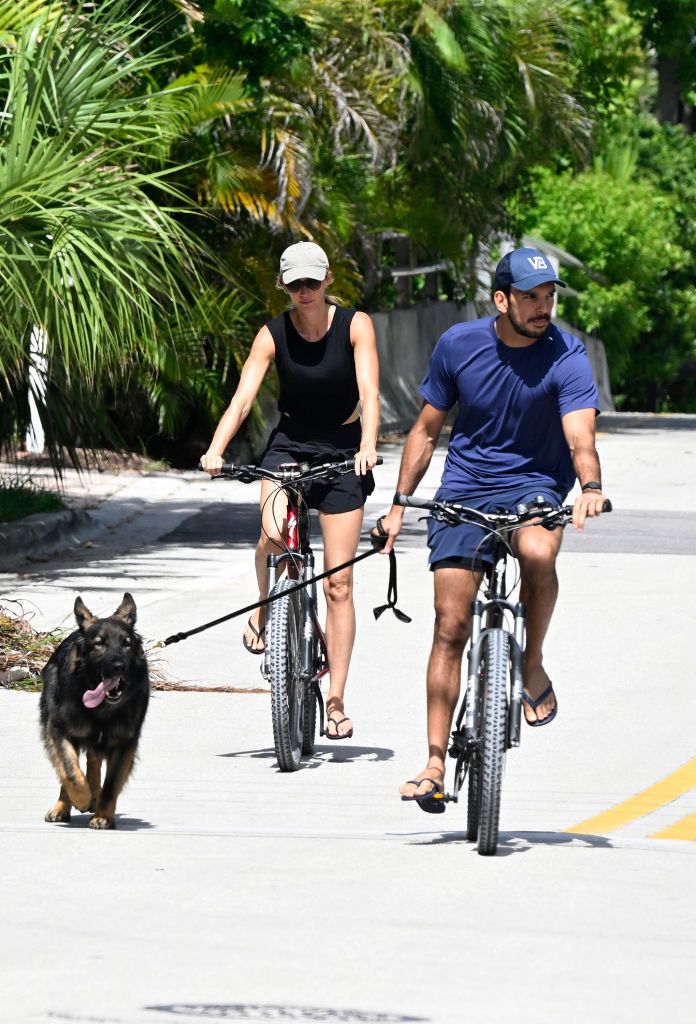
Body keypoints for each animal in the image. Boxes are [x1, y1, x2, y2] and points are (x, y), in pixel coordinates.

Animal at [39, 598, 149, 827]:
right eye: (99, 643)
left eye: (126, 644)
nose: (119, 667)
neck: (101, 708)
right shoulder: (59, 731)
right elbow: (70, 773)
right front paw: (81, 798)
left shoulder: (124, 743)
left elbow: (110, 785)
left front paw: (103, 816)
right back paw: (63, 806)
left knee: (93, 760)